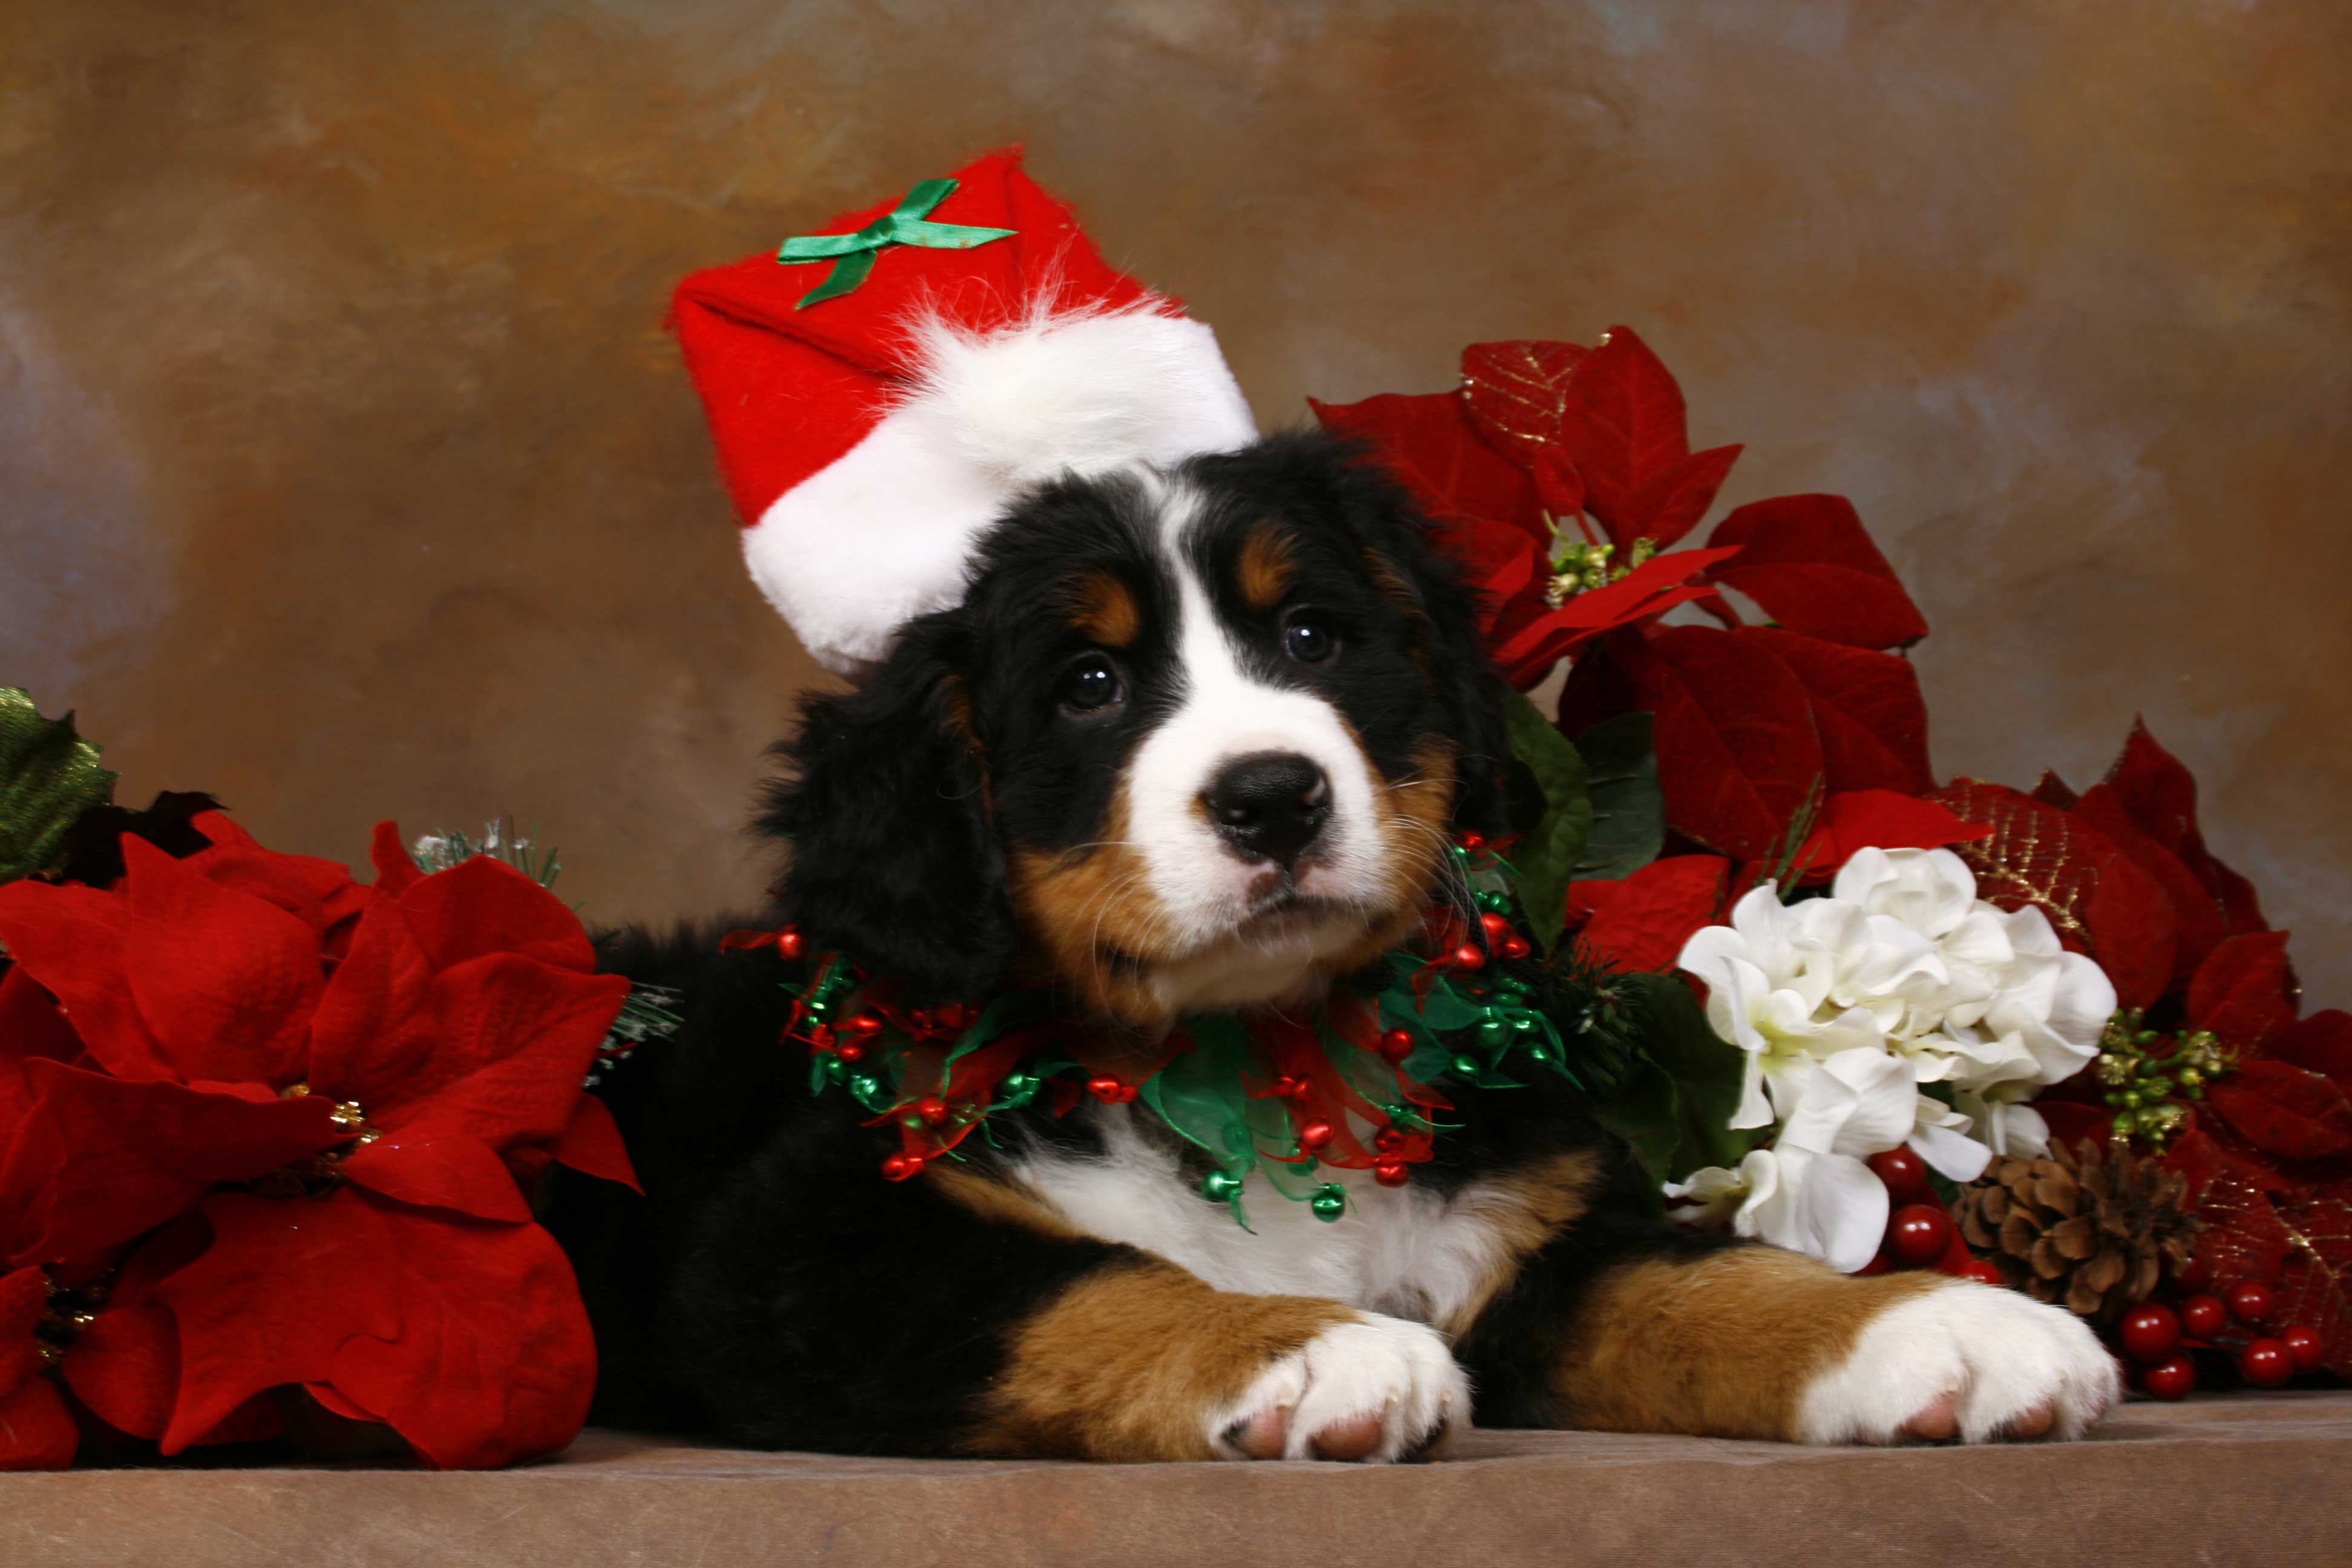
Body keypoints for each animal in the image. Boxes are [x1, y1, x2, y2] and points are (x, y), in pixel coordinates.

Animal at [546, 425, 2117, 1457]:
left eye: (1311, 635)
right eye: (1088, 684)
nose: (1272, 794)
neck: (1253, 1060)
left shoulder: (1529, 1240)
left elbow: (1702, 1280)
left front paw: (1937, 1326)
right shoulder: (794, 1254)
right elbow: (1080, 1280)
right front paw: (1304, 1344)